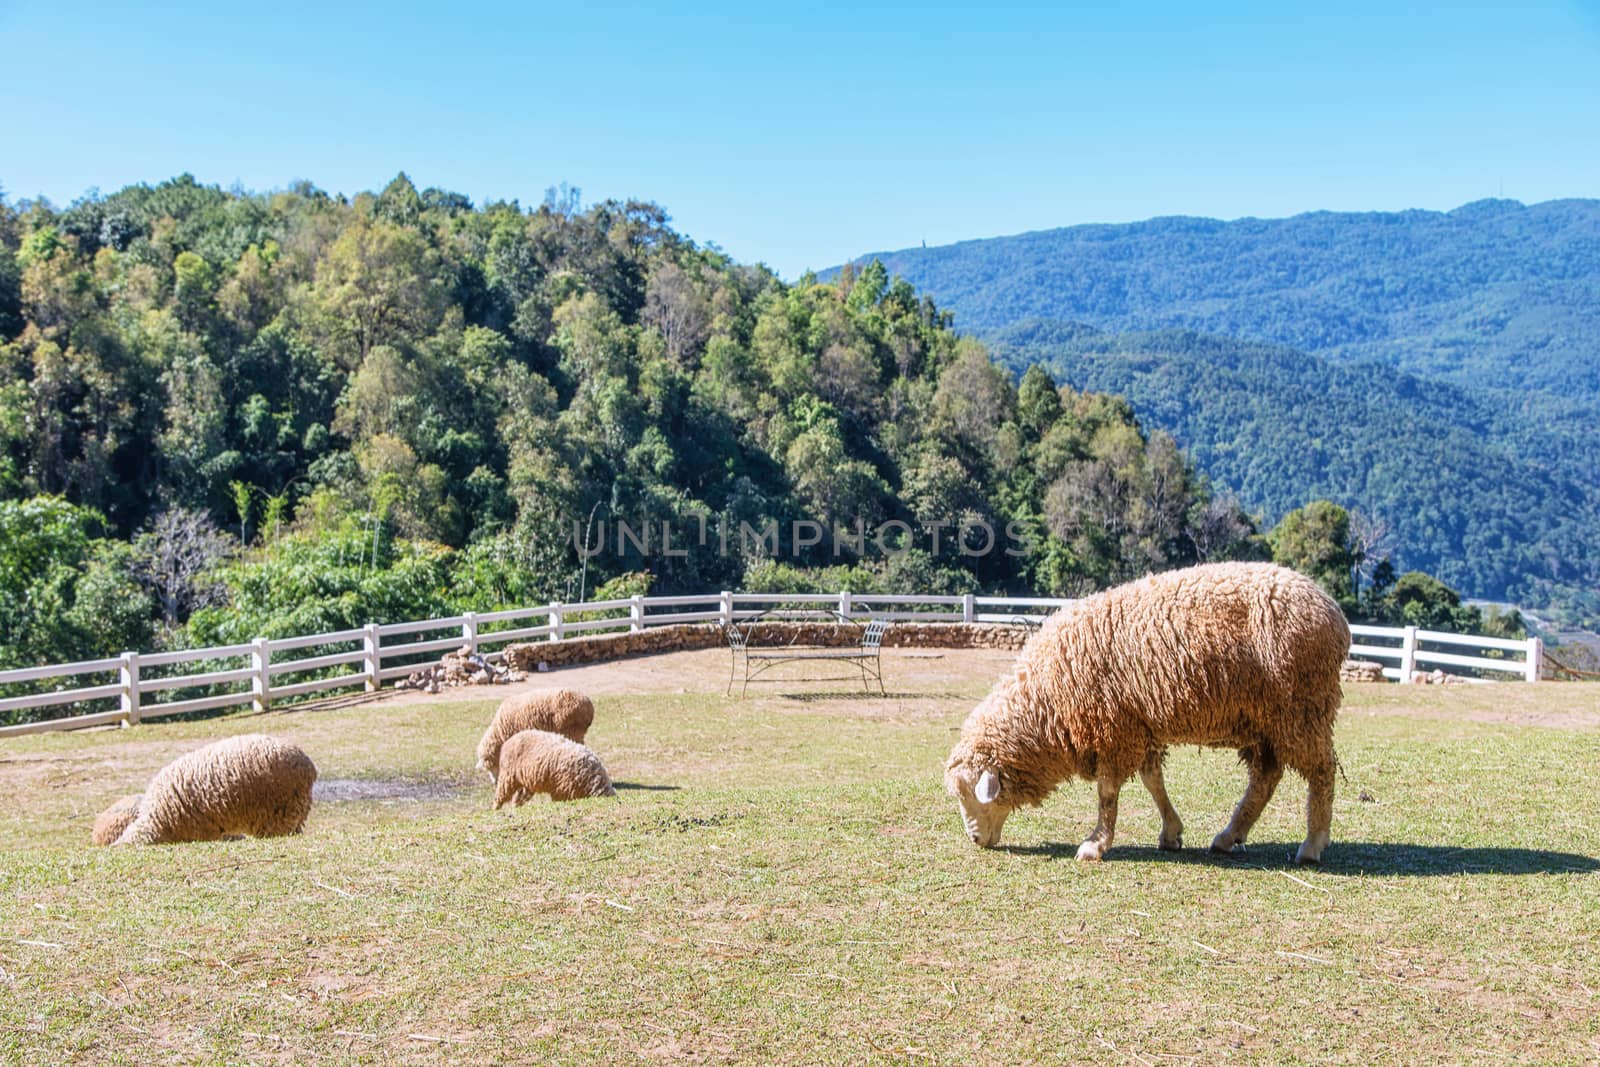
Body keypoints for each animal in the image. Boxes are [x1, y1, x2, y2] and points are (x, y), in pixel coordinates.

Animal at [947, 563, 1350, 863]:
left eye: (969, 795)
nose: (975, 840)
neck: (1047, 701)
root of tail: (1334, 613)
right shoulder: (1139, 723)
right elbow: (1153, 780)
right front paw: (1171, 832)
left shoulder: (1115, 729)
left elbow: (1108, 793)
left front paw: (1095, 843)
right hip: (1266, 719)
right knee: (1266, 777)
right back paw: (1228, 836)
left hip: (1303, 709)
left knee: (1322, 771)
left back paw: (1312, 844)